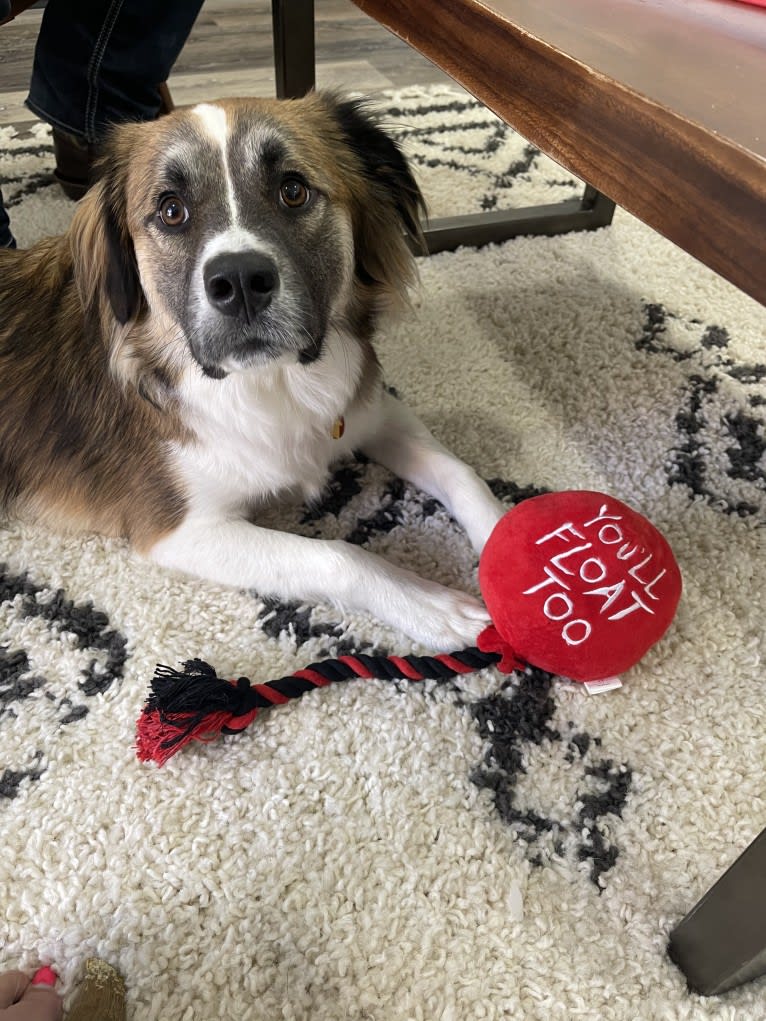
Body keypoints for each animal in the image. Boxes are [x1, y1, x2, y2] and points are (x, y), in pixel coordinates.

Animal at [1, 97, 510, 653]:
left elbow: (459, 472)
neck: (271, 382)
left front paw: (513, 540)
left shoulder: (369, 407)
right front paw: (427, 602)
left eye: (293, 190)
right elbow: (336, 555)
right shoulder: (182, 529)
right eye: (171, 210)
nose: (240, 281)